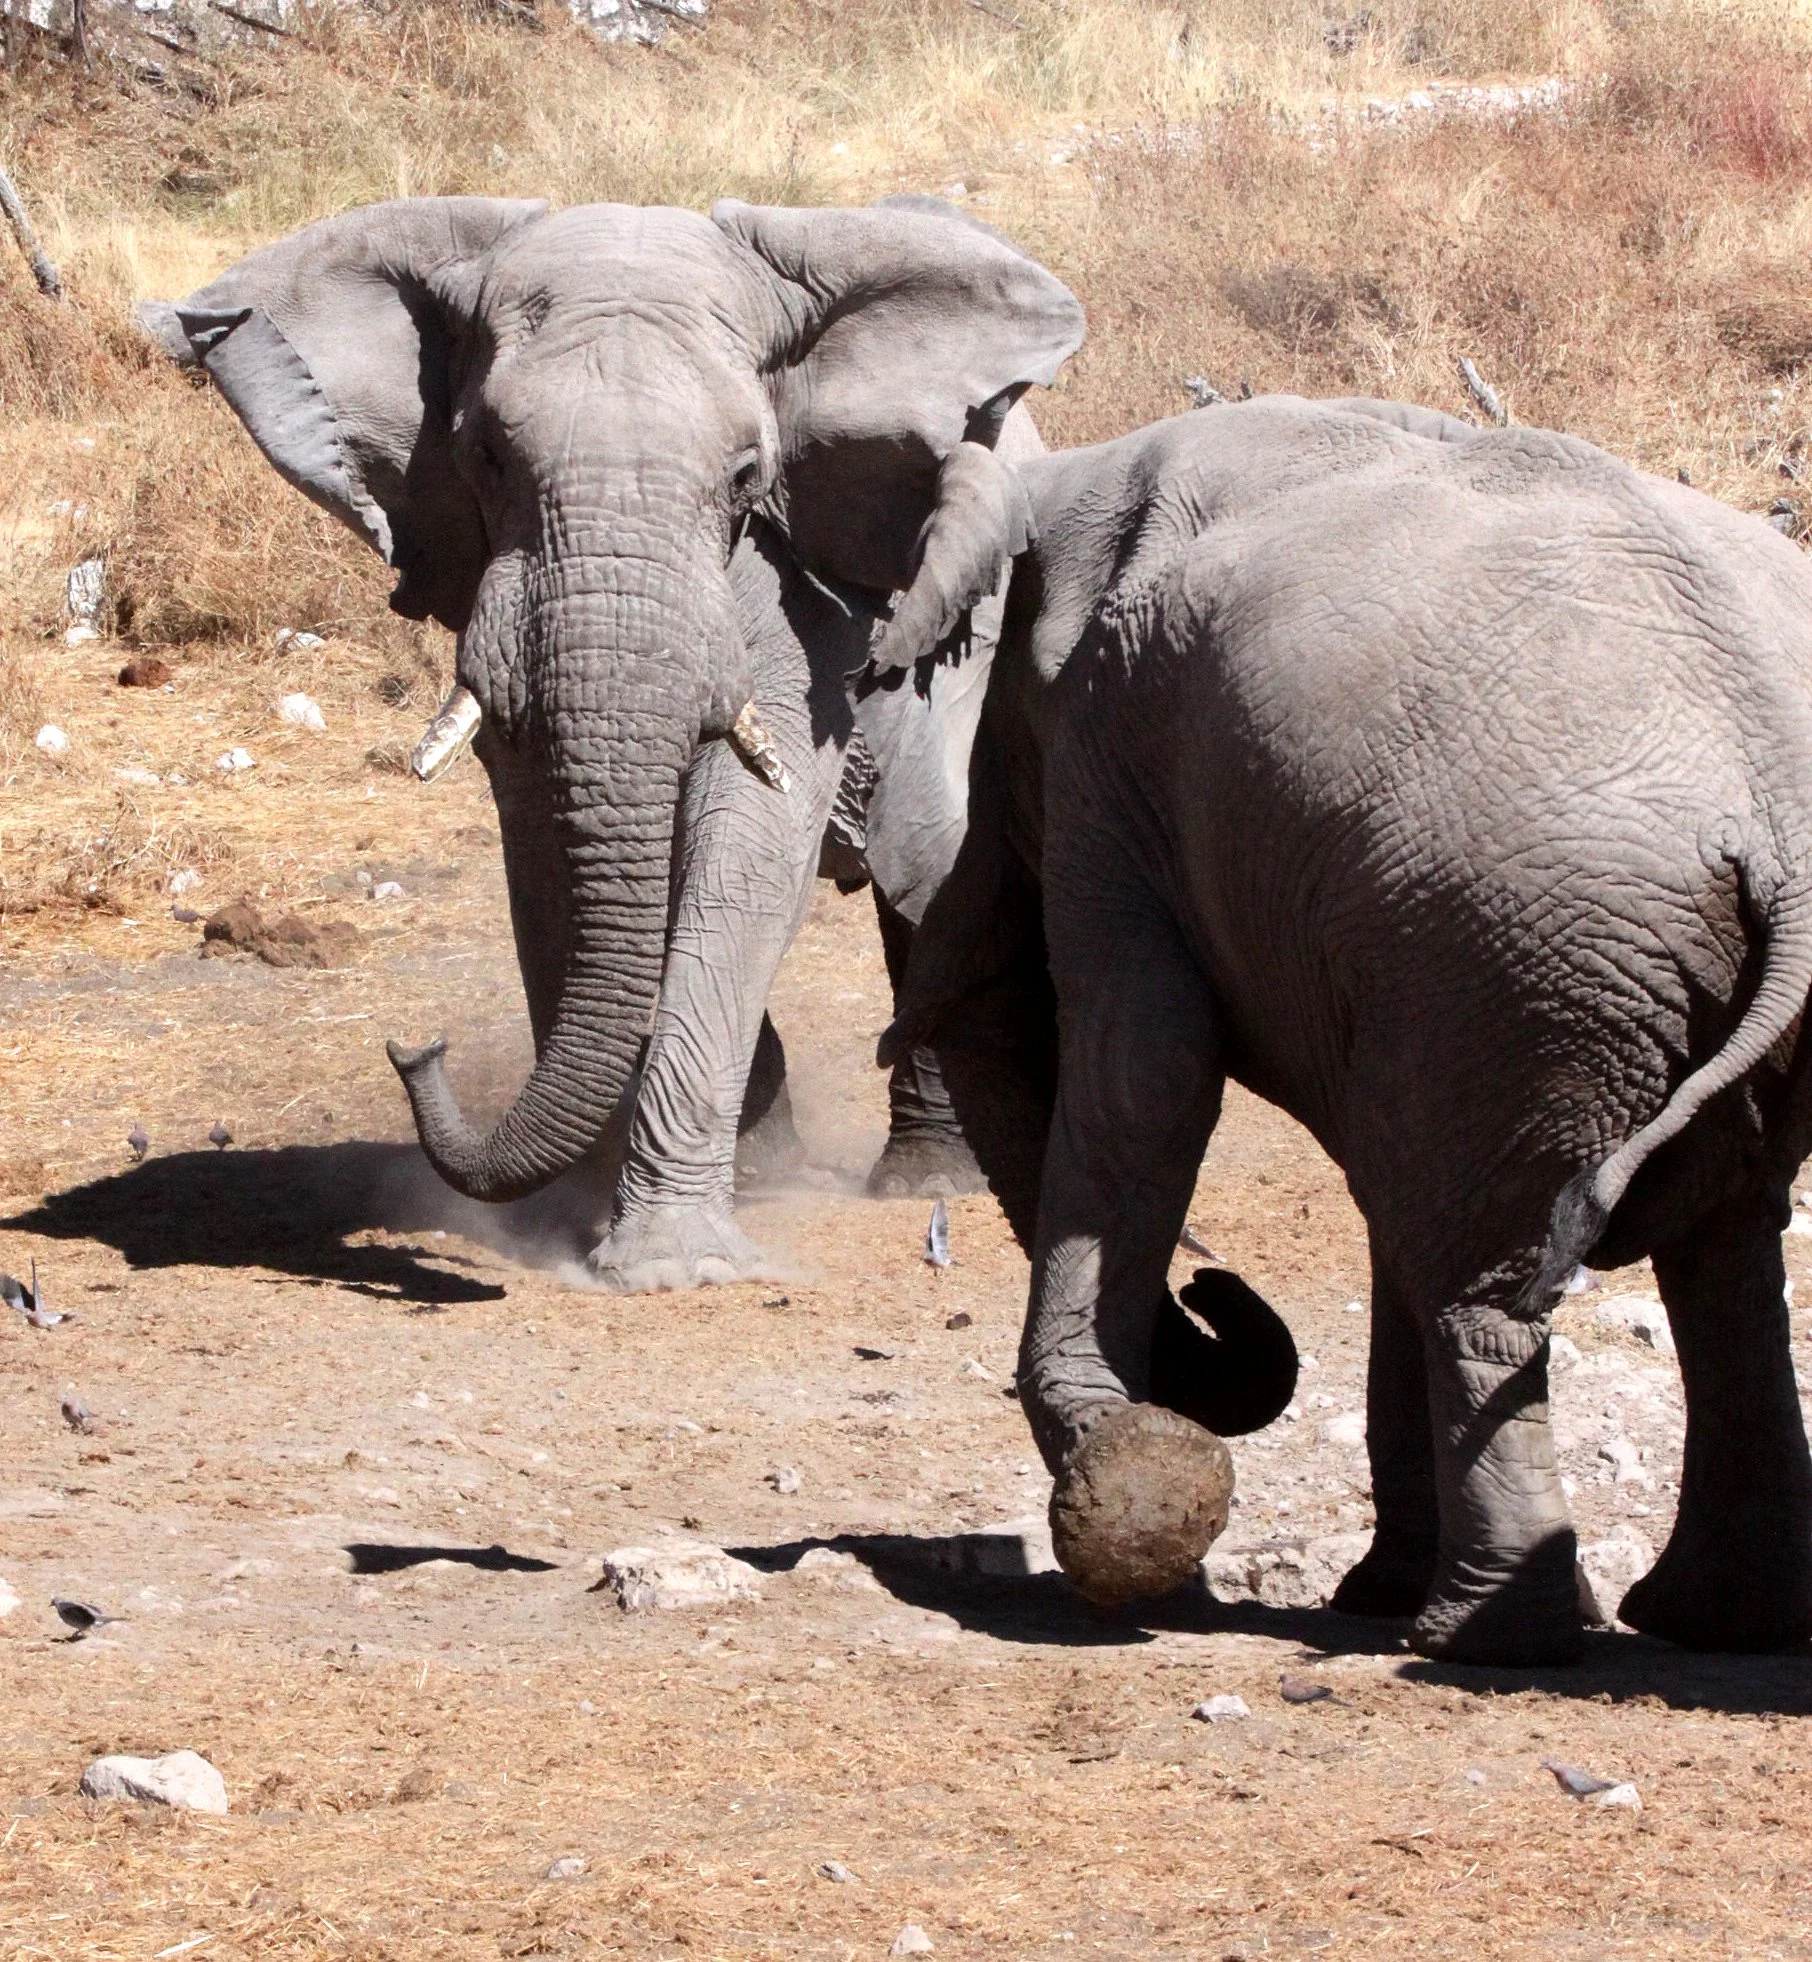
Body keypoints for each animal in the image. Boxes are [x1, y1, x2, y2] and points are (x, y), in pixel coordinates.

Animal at [139, 194, 1083, 1288]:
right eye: (487, 458)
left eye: (748, 475)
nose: (414, 1051)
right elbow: (546, 853)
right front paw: (582, 1221)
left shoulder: (801, 601)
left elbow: (747, 849)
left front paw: (671, 1265)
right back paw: (769, 1164)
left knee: (927, 875)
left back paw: (926, 1179)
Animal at [874, 392, 1812, 1664]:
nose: (1219, 1290)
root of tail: (1774, 814)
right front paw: (1362, 1584)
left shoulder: (1109, 762)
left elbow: (1146, 1073)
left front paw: (1139, 1496)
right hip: (1536, 974)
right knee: (1712, 1251)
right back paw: (1702, 1622)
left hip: (1515, 948)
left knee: (1486, 1286)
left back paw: (1477, 1639)